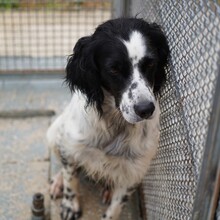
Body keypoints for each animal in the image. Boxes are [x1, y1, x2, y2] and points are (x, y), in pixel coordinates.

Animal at [47, 17, 169, 220]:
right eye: (114, 69)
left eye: (151, 64)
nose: (146, 110)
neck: (116, 124)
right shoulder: (70, 146)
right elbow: (71, 181)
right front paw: (70, 206)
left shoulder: (135, 170)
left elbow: (116, 207)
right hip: (53, 133)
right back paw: (57, 182)